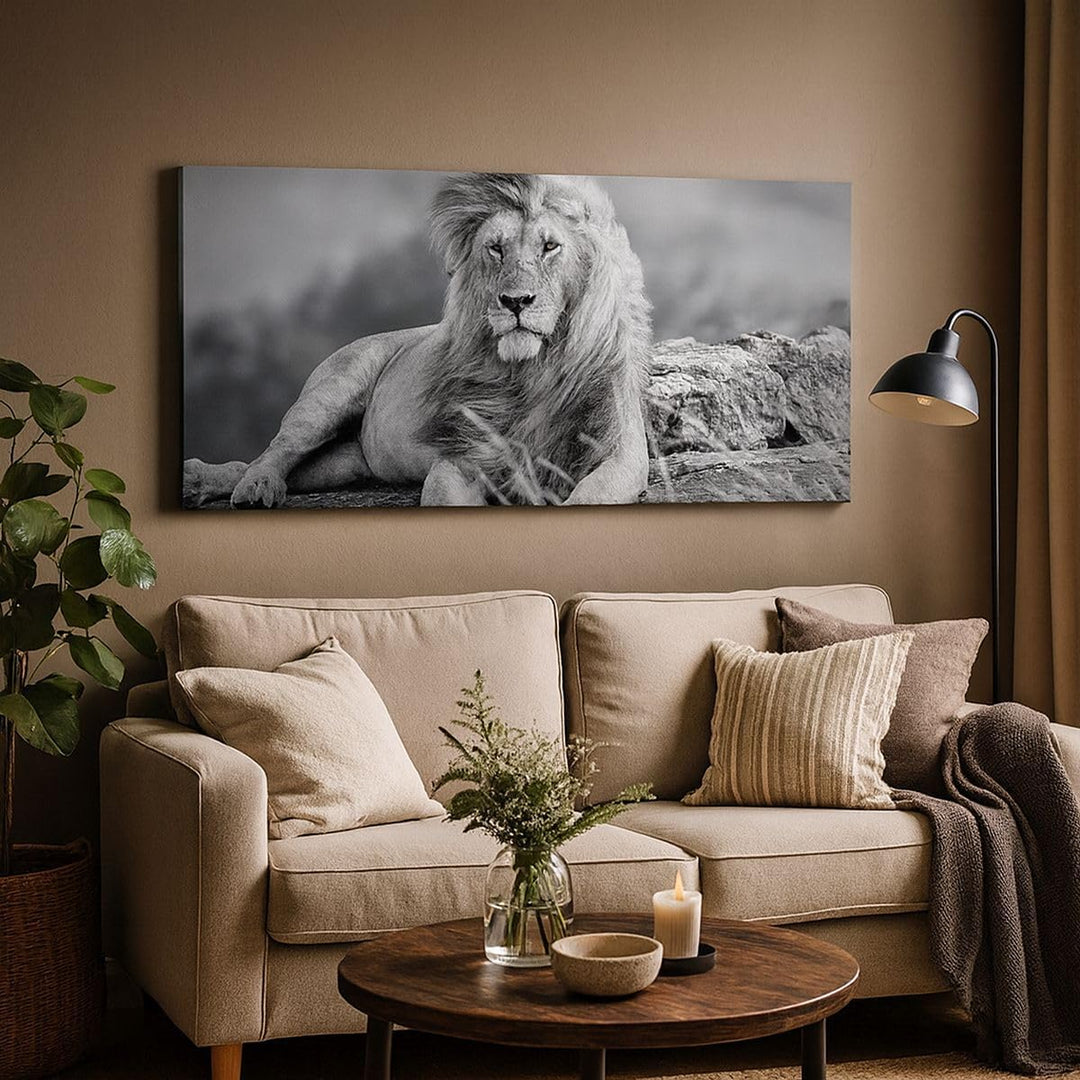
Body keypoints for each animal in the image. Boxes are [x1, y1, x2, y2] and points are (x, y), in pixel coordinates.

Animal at [183, 173, 653, 508]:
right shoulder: (462, 456)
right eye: (496, 248)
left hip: (346, 463)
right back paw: (249, 486)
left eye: (550, 247)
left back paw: (206, 480)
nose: (515, 301)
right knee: (275, 450)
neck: (534, 368)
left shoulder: (621, 455)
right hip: (331, 393)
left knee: (284, 467)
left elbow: (589, 496)